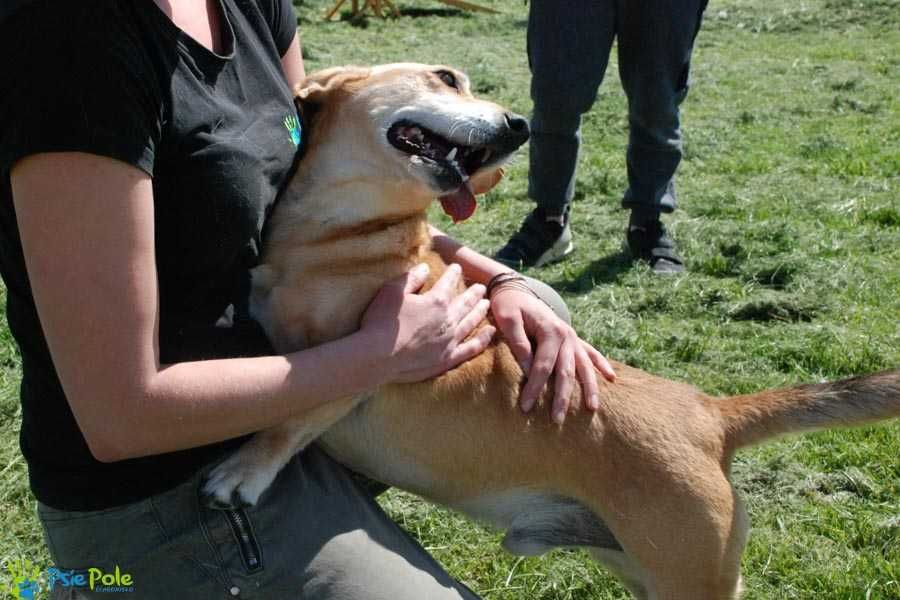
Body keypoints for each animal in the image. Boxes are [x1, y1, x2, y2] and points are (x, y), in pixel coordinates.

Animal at [204, 63, 900, 596]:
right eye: (446, 78)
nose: (519, 126)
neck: (338, 238)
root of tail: (712, 415)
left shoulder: (366, 359)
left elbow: (295, 412)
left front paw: (242, 472)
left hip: (688, 576)